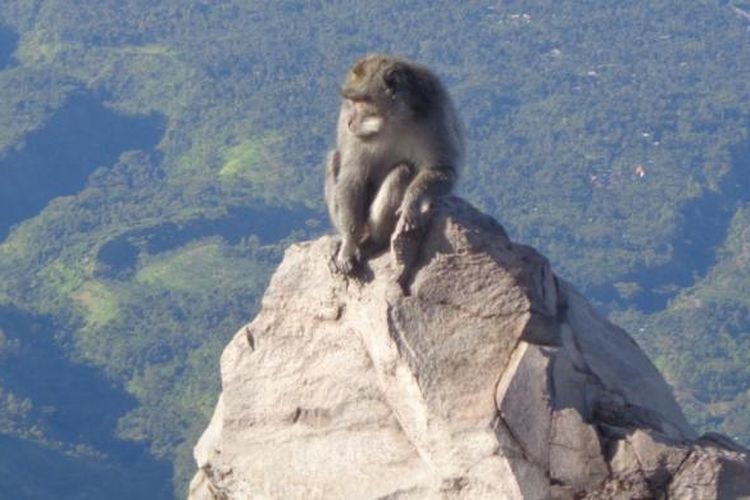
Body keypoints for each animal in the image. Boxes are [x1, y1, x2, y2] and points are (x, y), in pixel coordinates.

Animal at [328, 54, 464, 274]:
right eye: (351, 100)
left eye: (362, 100)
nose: (349, 121)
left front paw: (411, 203)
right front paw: (348, 245)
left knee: (403, 171)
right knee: (335, 159)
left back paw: (377, 241)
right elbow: (352, 175)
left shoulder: (435, 111)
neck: (393, 120)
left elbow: (440, 168)